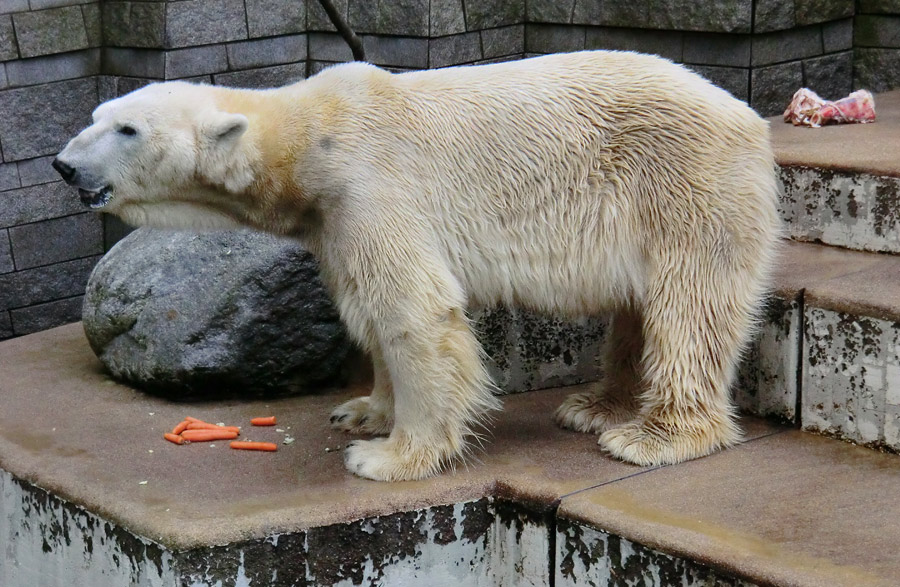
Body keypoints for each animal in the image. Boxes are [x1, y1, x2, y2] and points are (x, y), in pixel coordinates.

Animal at [54, 50, 780, 482]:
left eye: (127, 130)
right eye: (96, 115)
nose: (63, 164)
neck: (309, 136)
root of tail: (746, 114)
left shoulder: (373, 185)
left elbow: (413, 310)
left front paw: (389, 455)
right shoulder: (332, 218)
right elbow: (365, 306)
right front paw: (363, 411)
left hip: (682, 182)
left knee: (688, 304)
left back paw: (653, 435)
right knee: (639, 309)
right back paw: (597, 406)